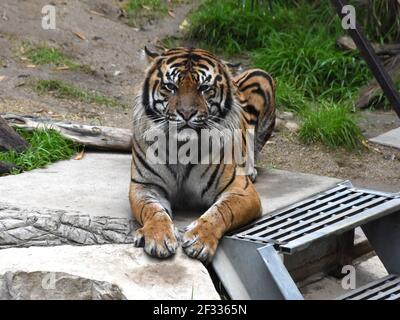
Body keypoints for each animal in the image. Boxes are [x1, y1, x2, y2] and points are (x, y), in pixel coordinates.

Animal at [129, 47, 276, 262]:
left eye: (204, 88)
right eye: (170, 86)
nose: (186, 113)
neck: (181, 148)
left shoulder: (241, 190)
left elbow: (221, 211)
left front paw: (200, 240)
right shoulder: (145, 186)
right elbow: (153, 210)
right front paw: (159, 237)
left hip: (262, 76)